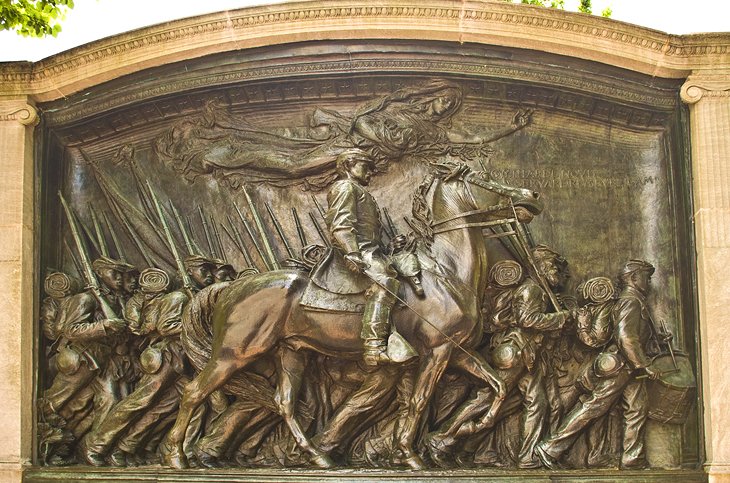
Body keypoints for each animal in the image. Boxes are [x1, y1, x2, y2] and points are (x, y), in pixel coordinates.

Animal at [164, 163, 540, 468]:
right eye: (482, 176)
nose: (531, 195)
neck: (446, 271)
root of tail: (231, 287)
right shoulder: (437, 351)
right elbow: (419, 402)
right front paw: (411, 454)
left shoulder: (457, 351)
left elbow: (497, 386)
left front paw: (457, 434)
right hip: (236, 352)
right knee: (193, 391)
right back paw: (176, 456)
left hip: (291, 351)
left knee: (284, 402)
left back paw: (318, 456)